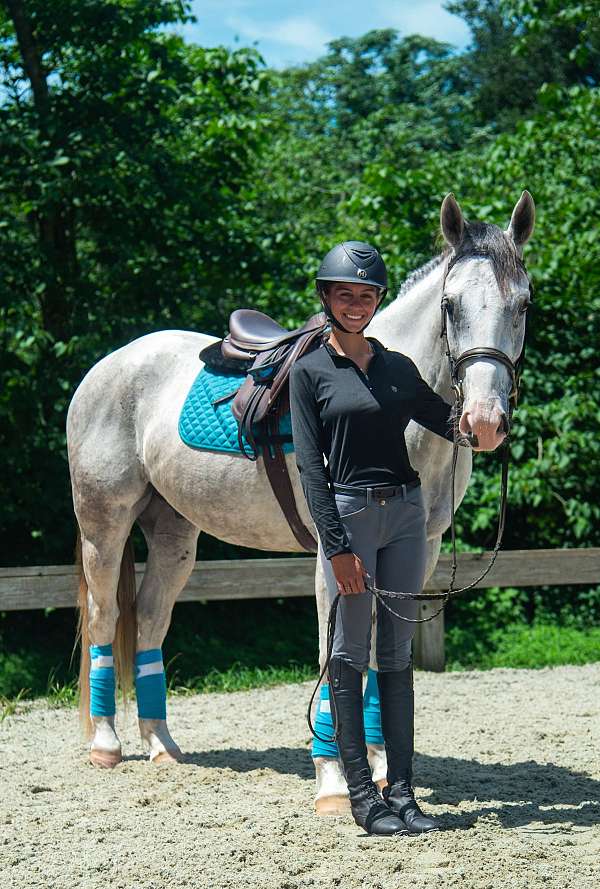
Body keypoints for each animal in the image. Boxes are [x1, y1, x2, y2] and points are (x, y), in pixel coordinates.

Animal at [66, 192, 535, 804]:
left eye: (522, 305)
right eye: (450, 306)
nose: (483, 421)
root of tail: (110, 365)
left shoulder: (418, 551)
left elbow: (380, 652)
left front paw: (380, 765)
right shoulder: (334, 557)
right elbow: (333, 655)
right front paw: (334, 782)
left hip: (173, 532)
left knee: (148, 617)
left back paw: (162, 747)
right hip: (105, 524)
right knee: (105, 615)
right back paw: (106, 745)